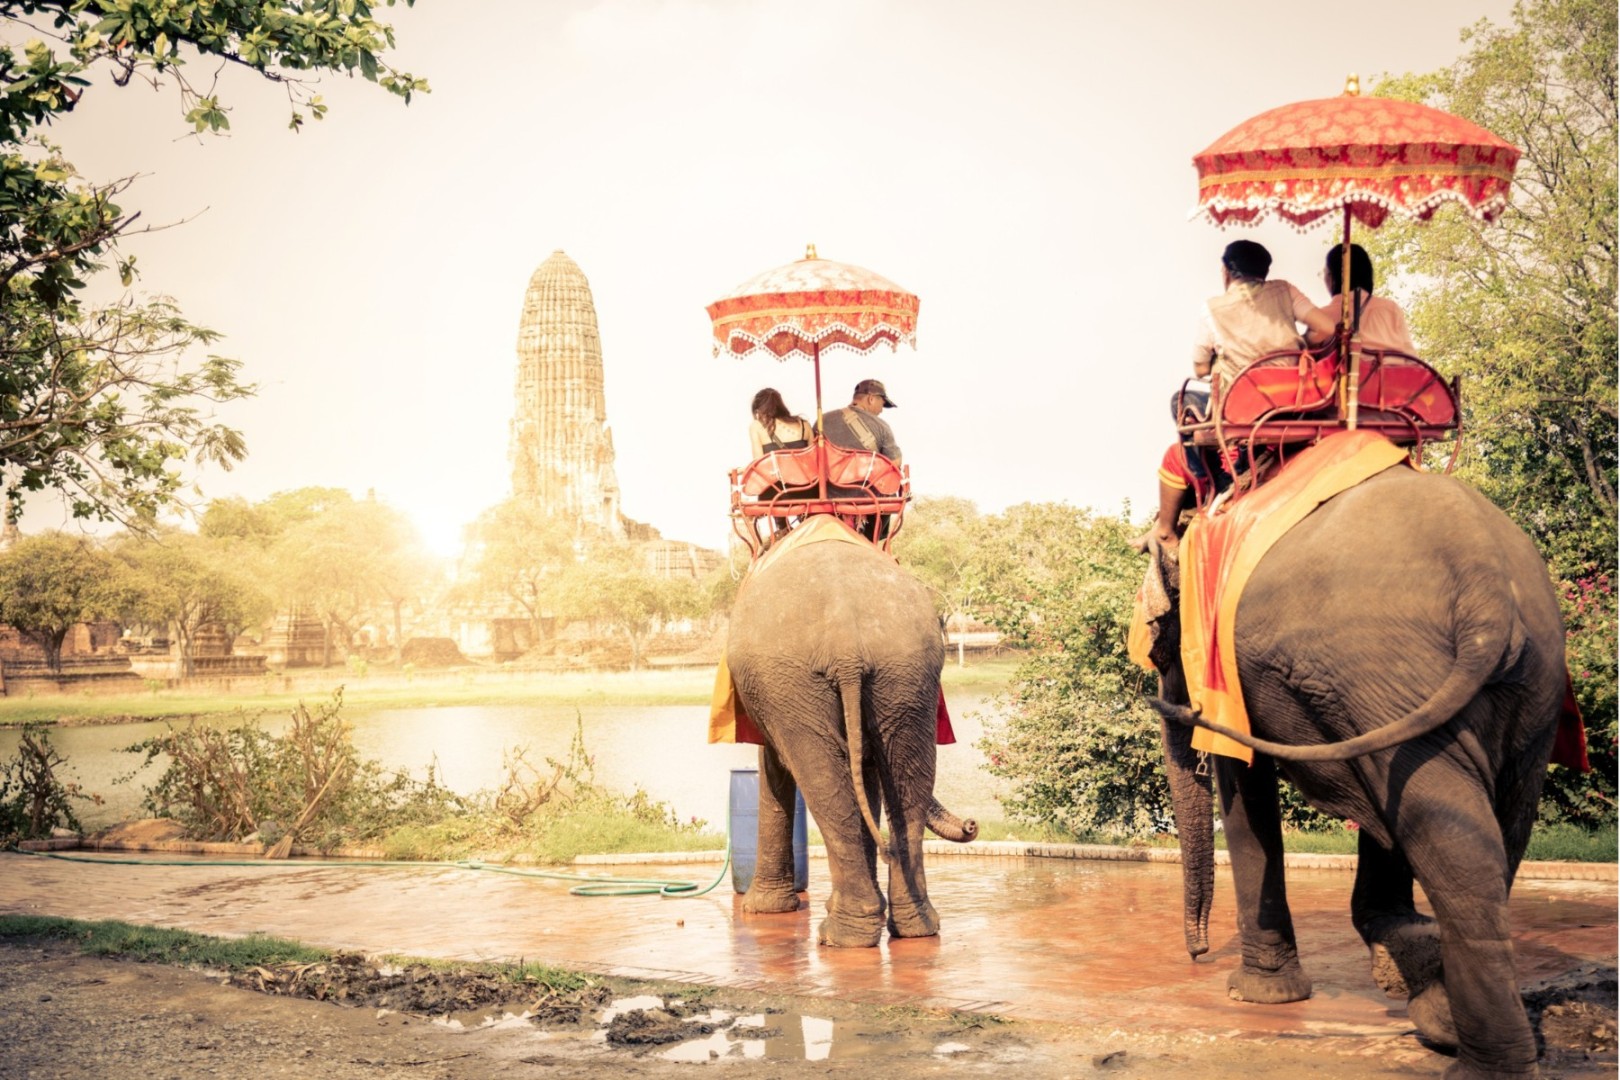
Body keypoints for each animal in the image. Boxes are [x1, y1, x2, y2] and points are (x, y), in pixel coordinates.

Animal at [732, 531, 978, 945]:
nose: (972, 824)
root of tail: (844, 635)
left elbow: (780, 764)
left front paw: (761, 910)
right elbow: (867, 769)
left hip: (795, 679)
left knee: (821, 777)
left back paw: (841, 935)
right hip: (904, 671)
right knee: (905, 775)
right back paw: (912, 927)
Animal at [1140, 466, 1568, 1080]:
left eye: (1160, 651)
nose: (1196, 954)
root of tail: (1486, 586)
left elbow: (1244, 786)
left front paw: (1257, 995)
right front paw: (1399, 948)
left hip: (1386, 666)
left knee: (1444, 831)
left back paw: (1470, 1058)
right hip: (1519, 686)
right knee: (1485, 826)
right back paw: (1441, 1017)